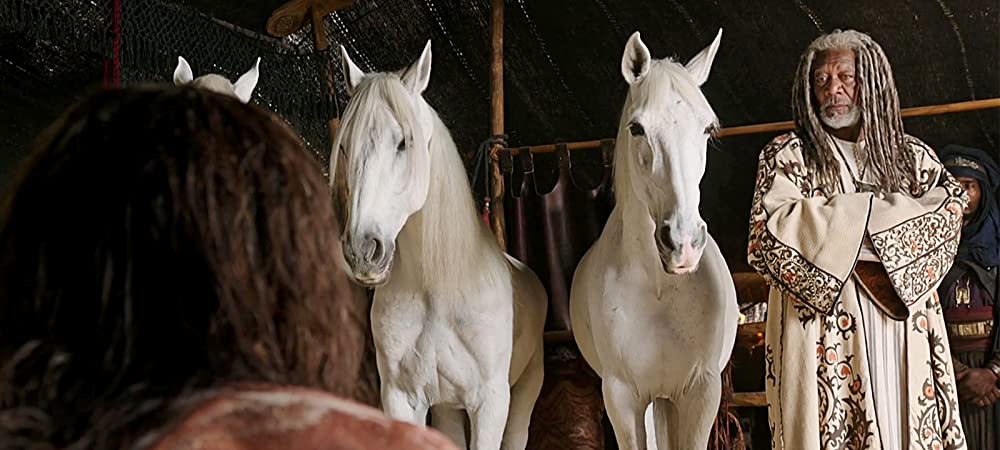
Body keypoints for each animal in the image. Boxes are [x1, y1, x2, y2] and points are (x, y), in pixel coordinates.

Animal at [332, 40, 544, 448]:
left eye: (403, 142)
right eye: (345, 147)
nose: (363, 250)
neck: (438, 288)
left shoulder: (490, 403)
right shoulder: (401, 396)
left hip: (525, 391)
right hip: (447, 407)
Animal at [568, 29, 740, 448]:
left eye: (707, 129)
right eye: (637, 128)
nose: (683, 243)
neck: (660, 286)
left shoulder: (700, 393)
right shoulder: (623, 397)